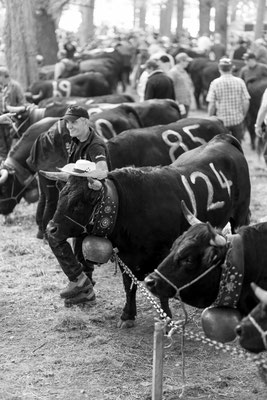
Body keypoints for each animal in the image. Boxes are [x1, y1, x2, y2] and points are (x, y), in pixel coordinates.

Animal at [44, 133, 251, 326]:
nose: (50, 229)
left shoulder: (164, 255)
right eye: (61, 195)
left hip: (240, 215)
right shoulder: (126, 256)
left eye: (78, 203)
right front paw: (127, 315)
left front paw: (166, 319)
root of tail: (221, 139)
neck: (127, 205)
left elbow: (162, 289)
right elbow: (129, 285)